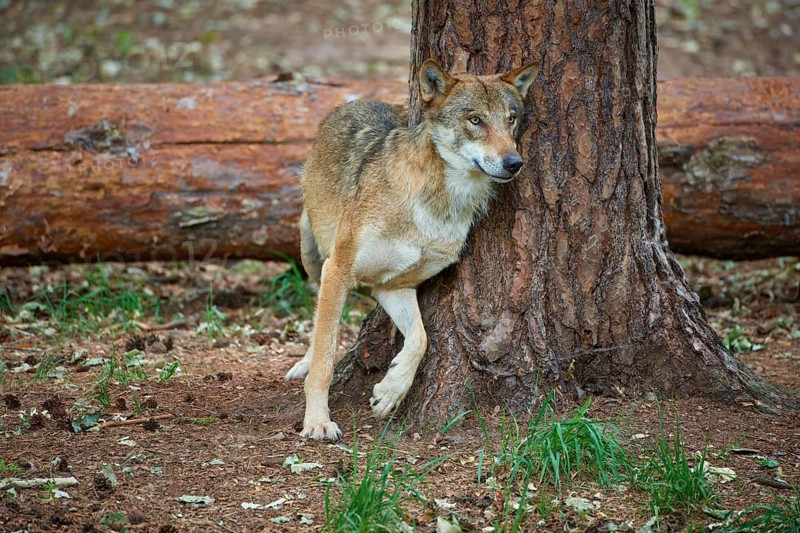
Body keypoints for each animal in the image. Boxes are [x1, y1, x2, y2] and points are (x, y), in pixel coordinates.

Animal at [285, 58, 539, 440]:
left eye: (510, 119)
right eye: (475, 120)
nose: (514, 163)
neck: (438, 204)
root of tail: (359, 100)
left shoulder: (394, 286)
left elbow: (421, 339)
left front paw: (391, 391)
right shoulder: (340, 269)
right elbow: (325, 358)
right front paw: (317, 420)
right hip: (313, 256)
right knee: (316, 320)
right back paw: (303, 364)